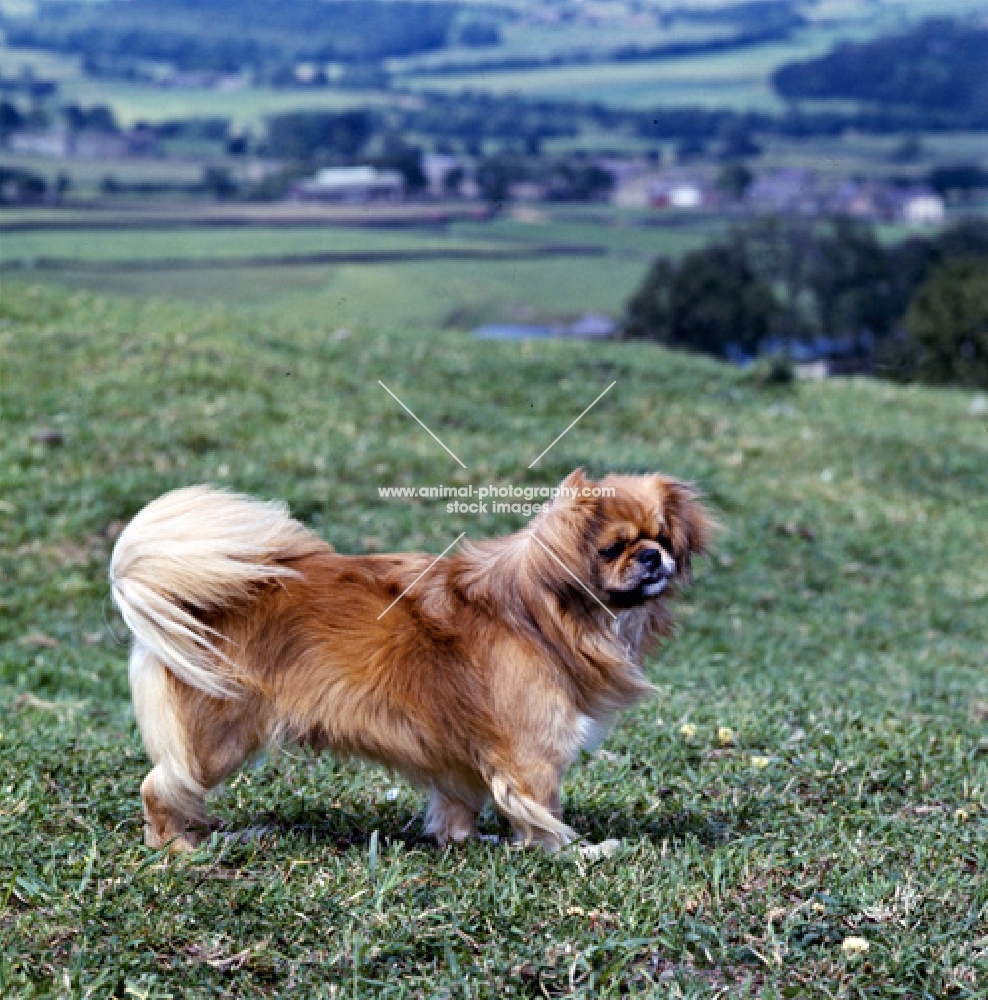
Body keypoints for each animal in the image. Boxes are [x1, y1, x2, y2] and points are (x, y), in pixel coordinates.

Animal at [112, 470, 712, 852]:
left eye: (662, 538)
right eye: (613, 548)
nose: (653, 557)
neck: (545, 612)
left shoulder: (462, 760)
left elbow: (458, 805)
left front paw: (467, 842)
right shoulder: (534, 754)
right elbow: (544, 812)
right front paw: (570, 851)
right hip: (218, 740)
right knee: (161, 786)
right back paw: (179, 849)